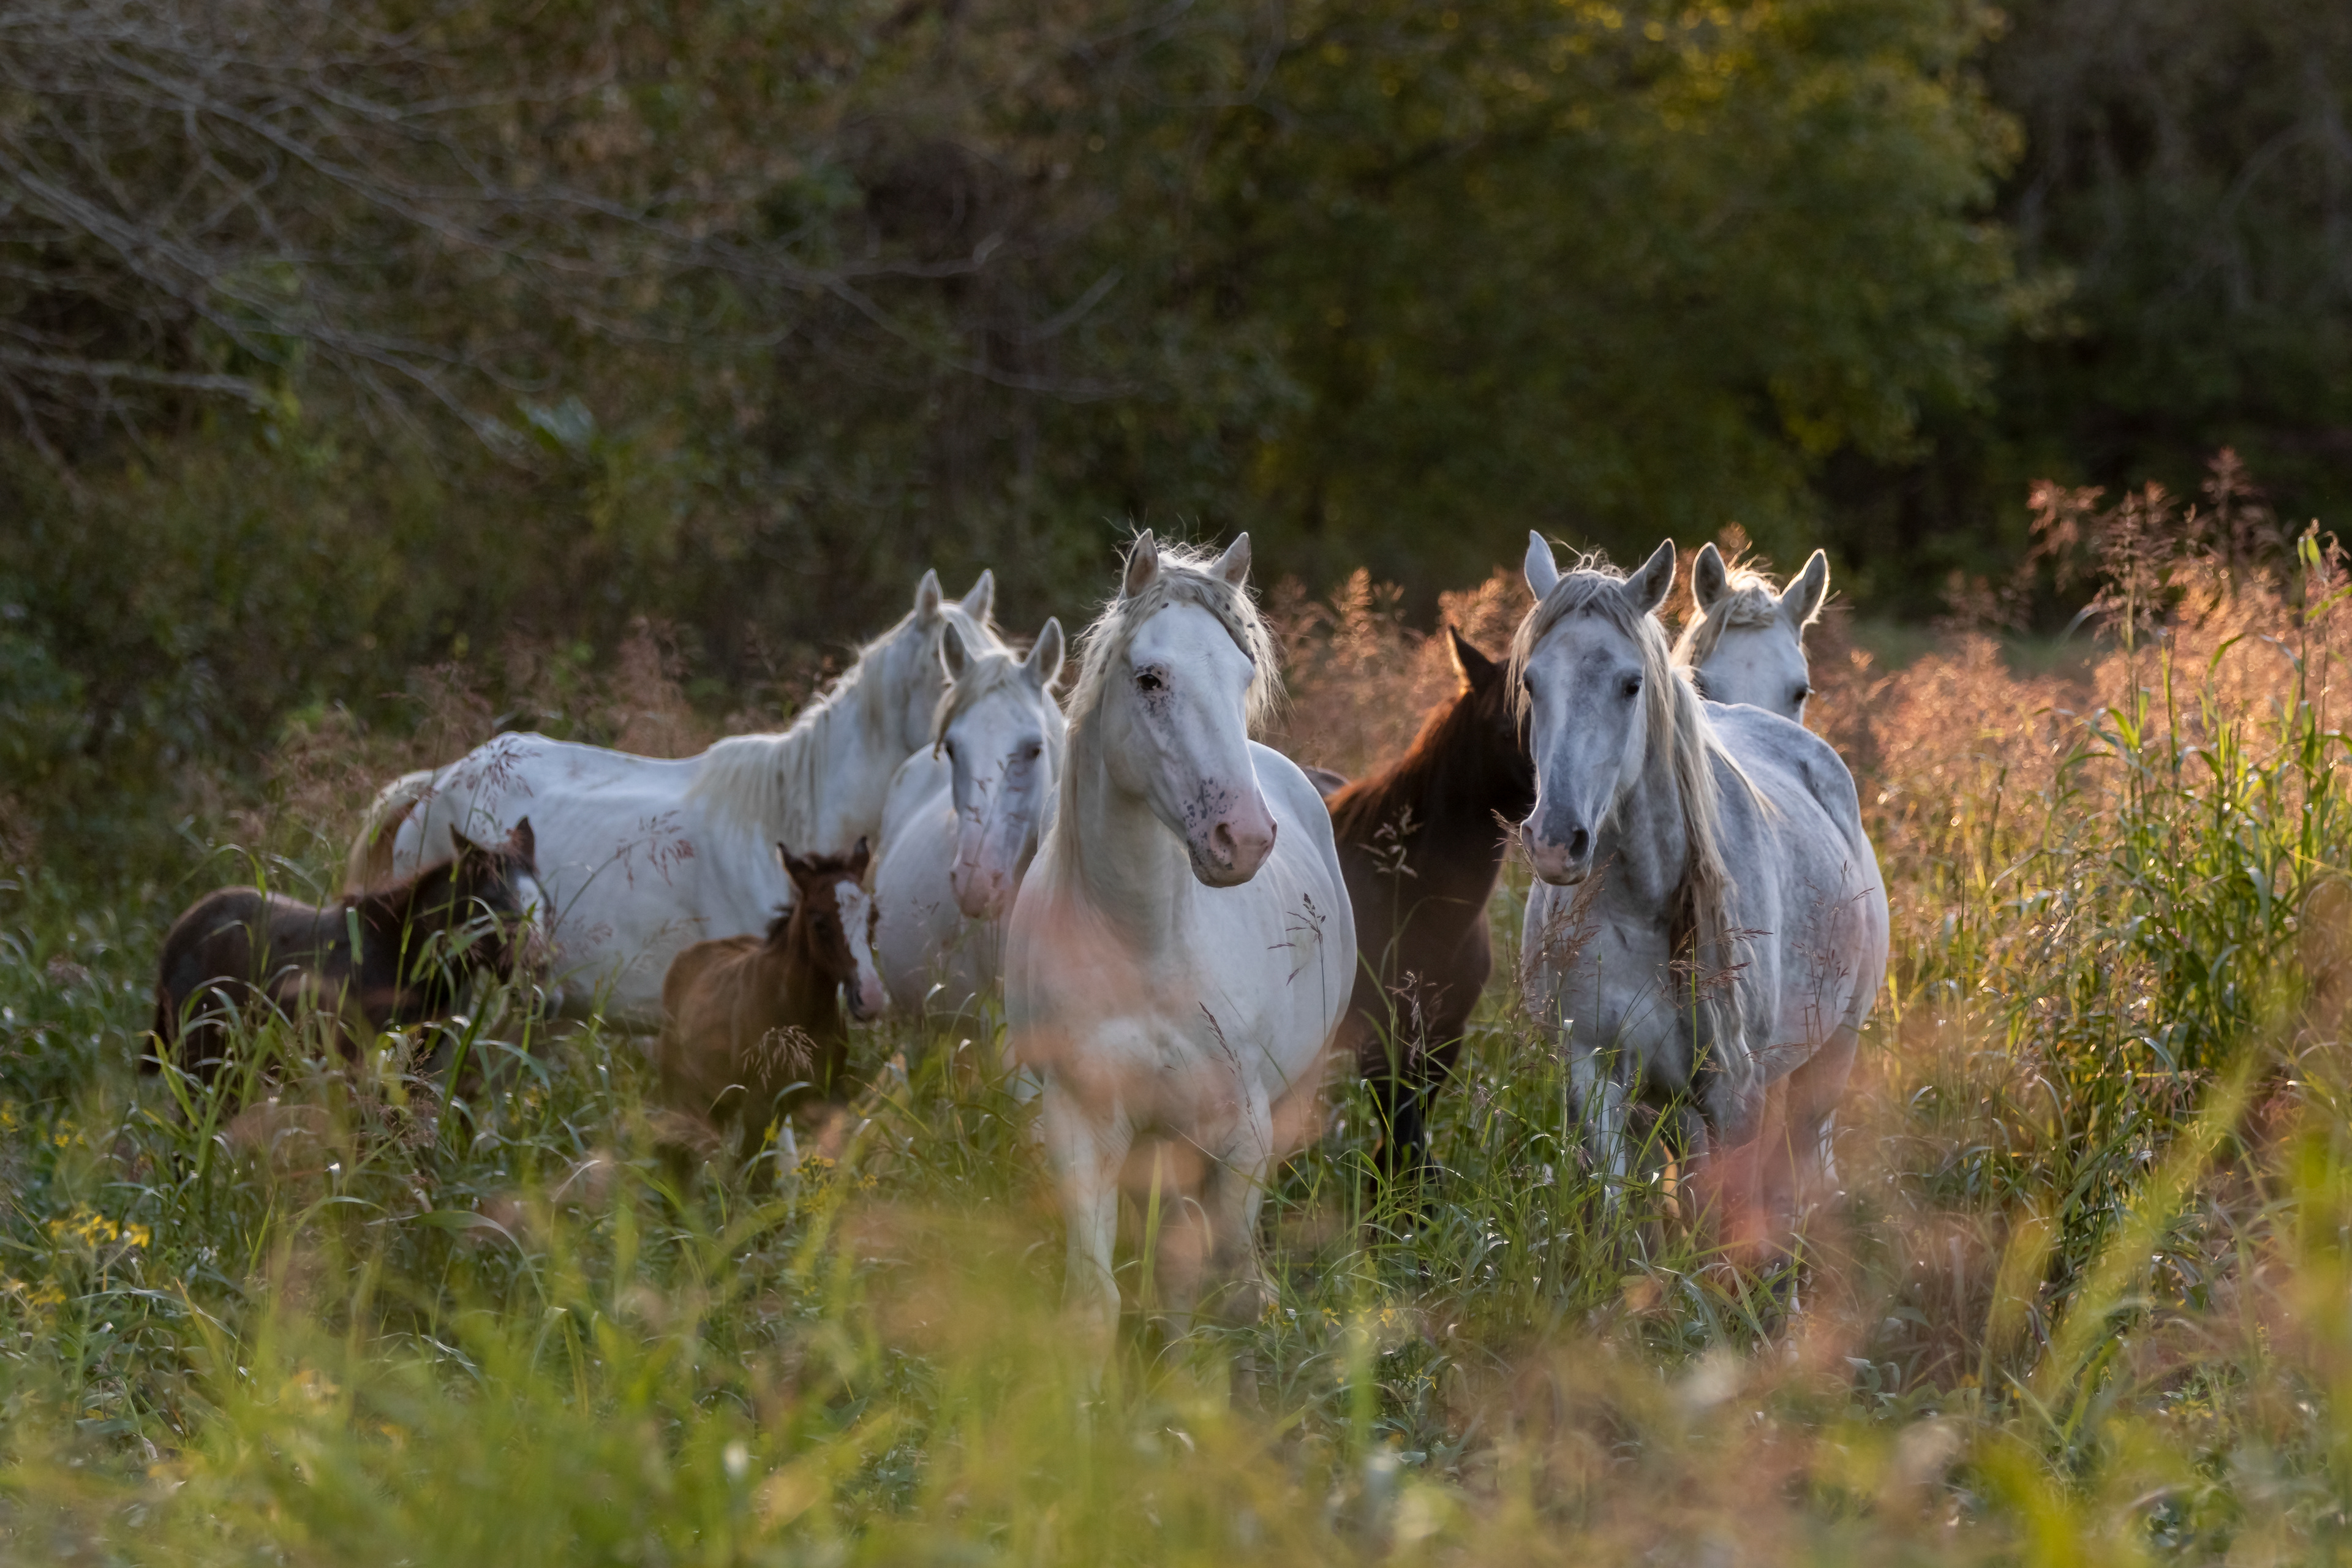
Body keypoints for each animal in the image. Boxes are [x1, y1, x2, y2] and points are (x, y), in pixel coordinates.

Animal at [150, 821, 548, 1085]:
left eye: (542, 900)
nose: (539, 975)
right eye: (494, 904)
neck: (403, 960)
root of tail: (176, 935)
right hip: (201, 1063)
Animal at [657, 841, 883, 1165]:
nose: (871, 997)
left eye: (874, 916)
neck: (800, 1016)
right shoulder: (760, 1104)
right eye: (819, 922)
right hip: (684, 1092)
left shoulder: (829, 1097)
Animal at [1007, 532, 1354, 1359]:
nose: (1245, 838)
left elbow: (1227, 1286)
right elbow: (1096, 1301)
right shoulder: (1080, 1125)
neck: (1147, 946)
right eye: (1151, 678)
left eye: (1243, 674)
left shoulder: (1240, 1131)